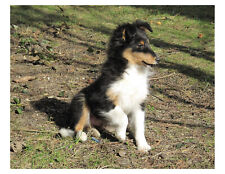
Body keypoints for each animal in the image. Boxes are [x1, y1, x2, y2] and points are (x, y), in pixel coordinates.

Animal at [59, 19, 159, 152]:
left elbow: (139, 127)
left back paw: (95, 131)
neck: (133, 70)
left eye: (148, 43)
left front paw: (143, 146)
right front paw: (121, 135)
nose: (158, 59)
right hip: (81, 99)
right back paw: (83, 135)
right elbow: (123, 117)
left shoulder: (139, 104)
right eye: (140, 45)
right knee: (77, 127)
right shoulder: (102, 99)